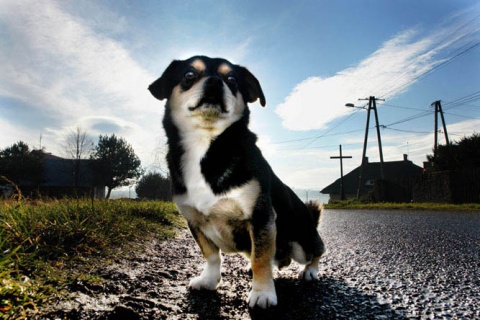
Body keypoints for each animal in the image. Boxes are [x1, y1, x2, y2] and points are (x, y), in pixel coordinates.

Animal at [148, 56, 324, 308]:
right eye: (189, 75)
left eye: (231, 79)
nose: (214, 82)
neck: (206, 145)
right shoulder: (195, 221)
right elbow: (211, 255)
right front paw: (209, 280)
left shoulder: (260, 217)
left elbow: (261, 258)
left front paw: (262, 292)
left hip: (302, 241)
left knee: (316, 251)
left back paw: (310, 271)